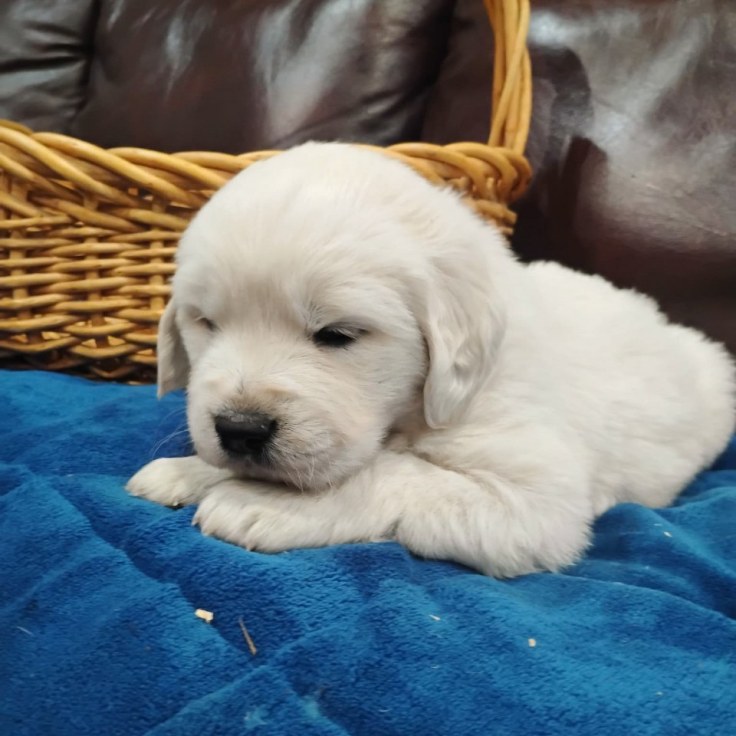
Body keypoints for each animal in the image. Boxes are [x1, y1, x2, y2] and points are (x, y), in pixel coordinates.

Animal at [127, 143, 736, 577]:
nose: (239, 429)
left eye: (337, 334)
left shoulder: (536, 498)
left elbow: (394, 471)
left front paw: (266, 503)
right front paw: (187, 470)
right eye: (208, 323)